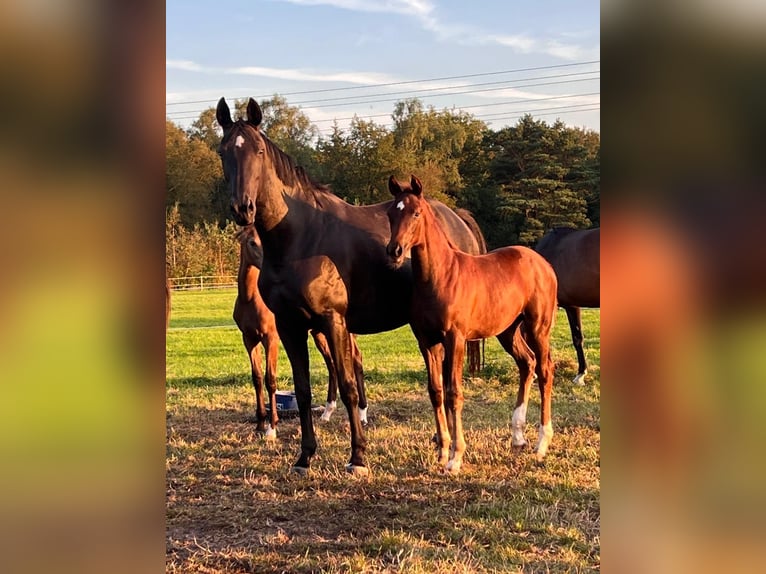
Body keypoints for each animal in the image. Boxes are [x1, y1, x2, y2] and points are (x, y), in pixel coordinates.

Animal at [232, 226, 368, 440]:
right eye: (252, 242)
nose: (270, 266)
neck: (251, 299)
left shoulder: (271, 339)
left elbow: (271, 379)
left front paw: (272, 428)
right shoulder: (249, 339)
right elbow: (257, 378)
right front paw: (260, 424)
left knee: (356, 359)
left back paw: (362, 414)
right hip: (319, 334)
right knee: (331, 364)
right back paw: (327, 412)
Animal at [390, 177, 560, 472]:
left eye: (416, 213)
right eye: (391, 213)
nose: (395, 251)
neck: (441, 276)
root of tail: (543, 263)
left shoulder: (455, 339)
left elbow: (454, 393)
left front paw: (456, 457)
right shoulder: (427, 341)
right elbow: (436, 392)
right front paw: (442, 451)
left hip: (538, 327)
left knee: (545, 369)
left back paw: (541, 444)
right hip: (508, 331)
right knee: (527, 364)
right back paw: (517, 437)